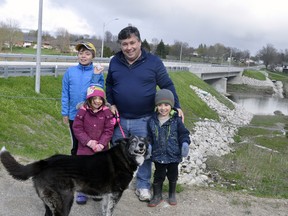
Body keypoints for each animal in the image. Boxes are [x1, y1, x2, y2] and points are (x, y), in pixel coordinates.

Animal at [0, 136, 147, 216]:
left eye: (144, 140)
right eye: (133, 140)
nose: (142, 145)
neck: (124, 156)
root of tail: (45, 162)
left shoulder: (108, 195)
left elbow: (105, 210)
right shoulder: (115, 194)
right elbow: (110, 211)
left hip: (49, 203)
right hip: (65, 200)